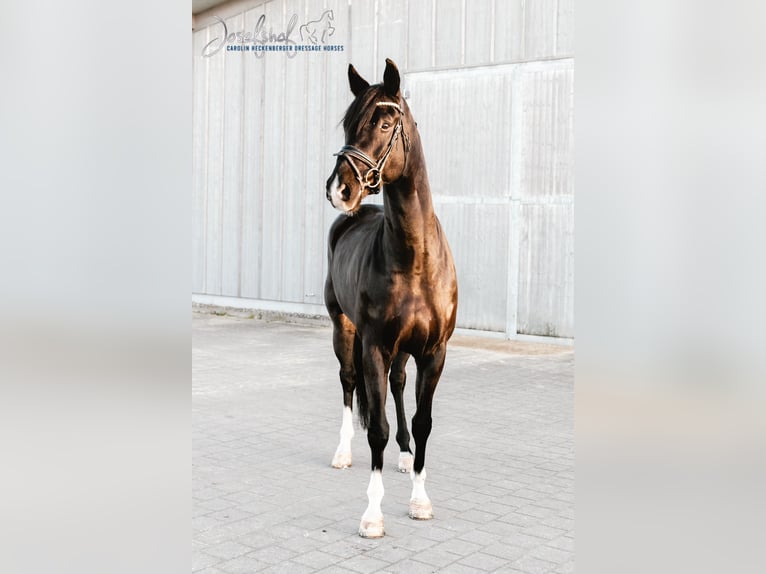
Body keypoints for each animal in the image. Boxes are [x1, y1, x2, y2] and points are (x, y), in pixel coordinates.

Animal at [322, 59, 456, 540]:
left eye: (383, 124)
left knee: (398, 386)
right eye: (347, 123)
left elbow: (423, 421)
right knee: (347, 382)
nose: (339, 189)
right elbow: (375, 427)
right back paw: (342, 453)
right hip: (343, 329)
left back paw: (403, 455)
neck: (414, 258)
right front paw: (372, 515)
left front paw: (419, 499)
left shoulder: (434, 351)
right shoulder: (375, 347)